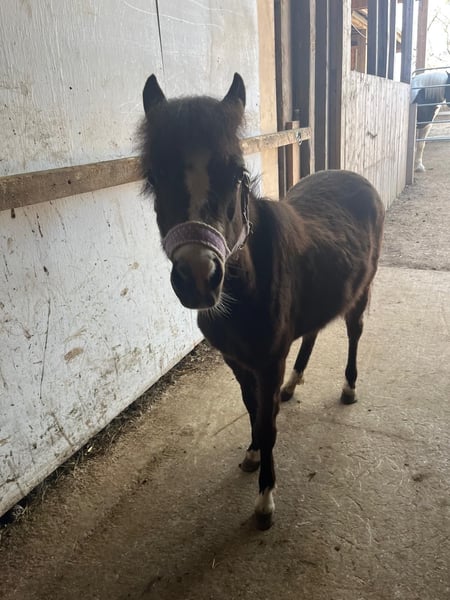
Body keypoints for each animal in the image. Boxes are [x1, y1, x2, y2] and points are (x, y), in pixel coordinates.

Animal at [139, 73, 385, 529]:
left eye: (236, 173)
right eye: (156, 175)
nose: (198, 278)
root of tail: (356, 180)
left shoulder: (268, 362)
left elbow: (269, 423)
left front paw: (265, 499)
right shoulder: (237, 362)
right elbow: (252, 408)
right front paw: (252, 454)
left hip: (361, 293)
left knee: (354, 332)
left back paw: (348, 388)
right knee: (312, 334)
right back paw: (293, 385)